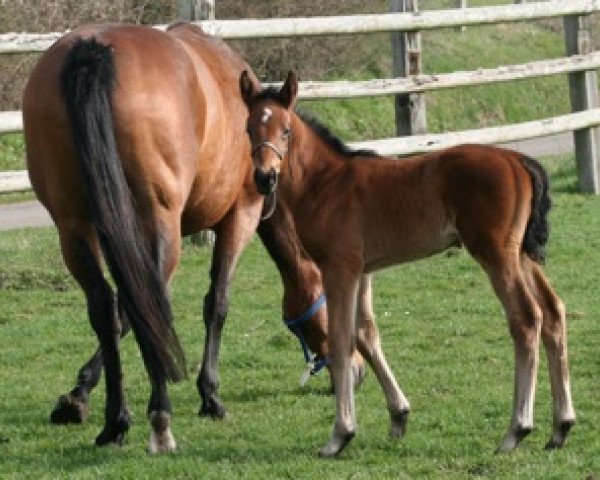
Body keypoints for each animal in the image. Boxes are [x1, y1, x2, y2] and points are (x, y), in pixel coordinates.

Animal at [23, 23, 344, 454]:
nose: (347, 373)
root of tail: (92, 51)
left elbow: (125, 314)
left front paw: (78, 395)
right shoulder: (240, 217)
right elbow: (216, 302)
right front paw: (210, 395)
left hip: (73, 227)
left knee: (107, 307)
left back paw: (115, 422)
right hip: (158, 222)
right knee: (150, 304)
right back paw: (160, 418)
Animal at [240, 71, 576, 458]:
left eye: (285, 130)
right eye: (249, 128)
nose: (264, 177)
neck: (324, 183)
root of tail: (517, 159)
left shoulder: (338, 268)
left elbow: (341, 340)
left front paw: (340, 435)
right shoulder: (363, 270)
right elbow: (366, 333)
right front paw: (398, 416)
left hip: (496, 254)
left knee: (526, 318)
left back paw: (516, 429)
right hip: (521, 254)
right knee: (553, 310)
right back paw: (561, 427)